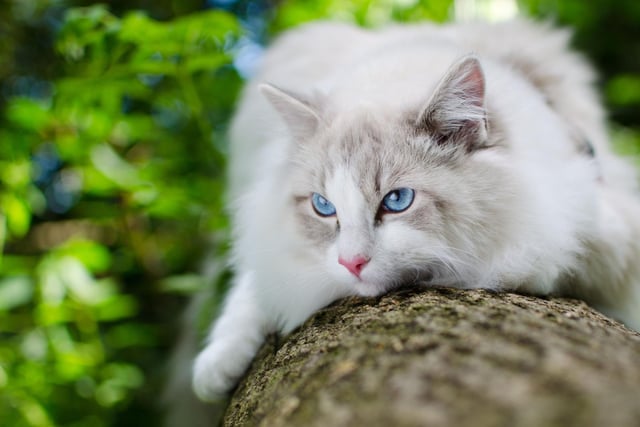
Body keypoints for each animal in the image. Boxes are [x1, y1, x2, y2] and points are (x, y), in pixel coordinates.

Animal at [190, 18, 640, 402]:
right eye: (323, 206)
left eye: (397, 201)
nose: (351, 263)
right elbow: (251, 290)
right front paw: (215, 367)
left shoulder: (595, 226)